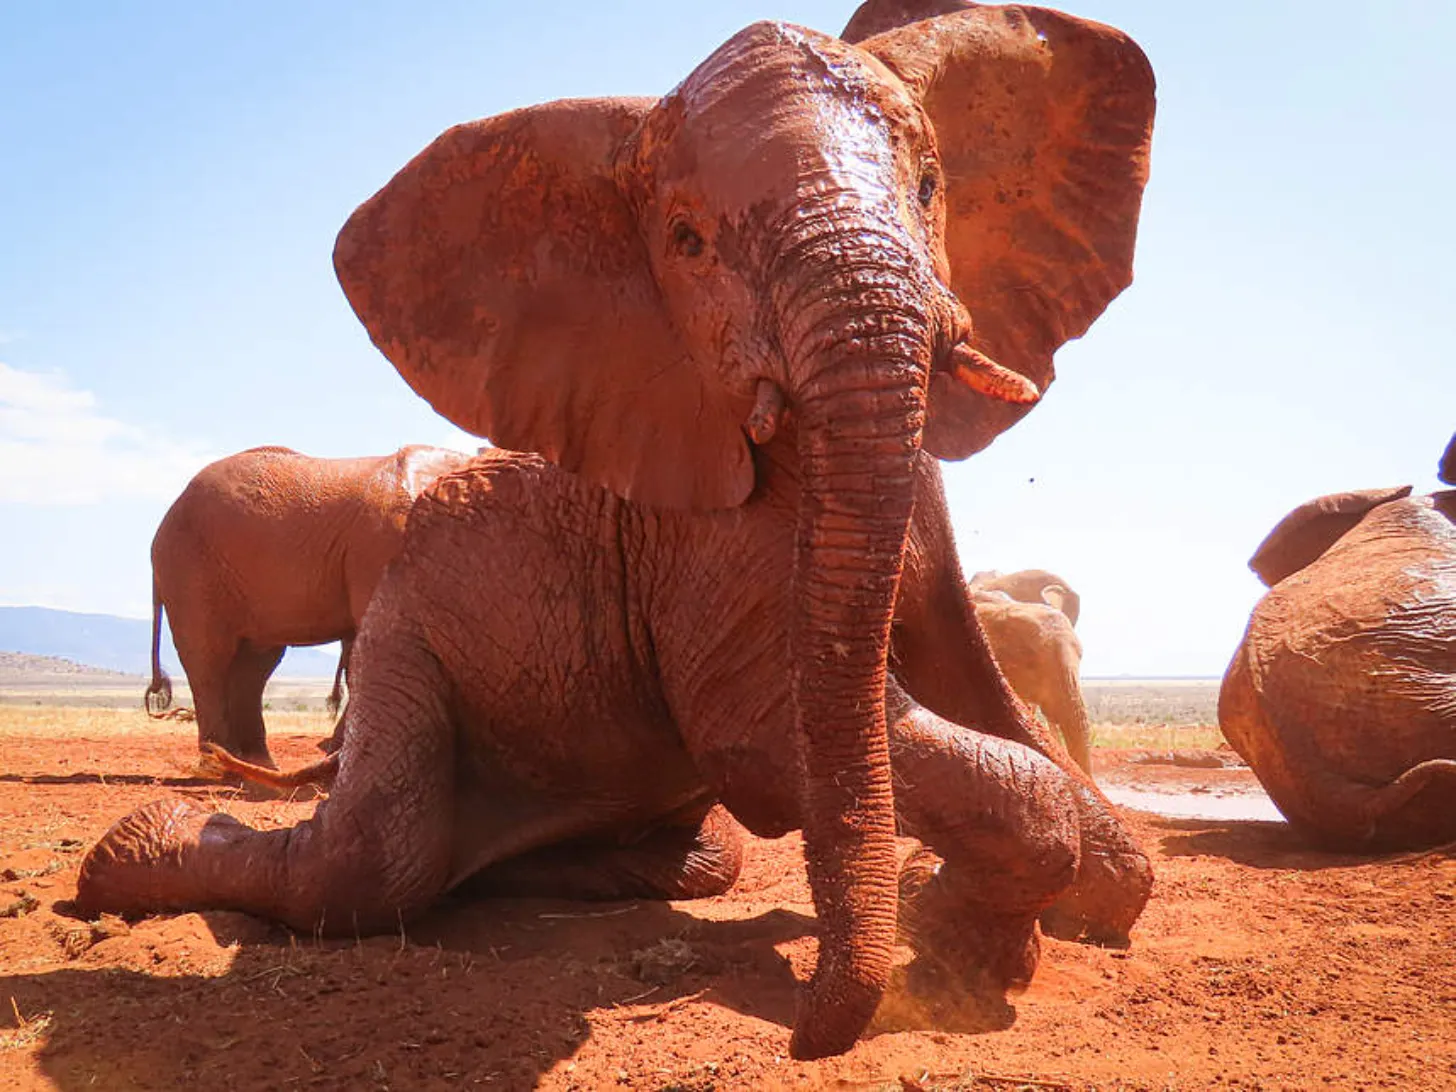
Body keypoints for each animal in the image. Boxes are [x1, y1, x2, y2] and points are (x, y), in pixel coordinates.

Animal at [146, 444, 472, 766]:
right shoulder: (385, 546)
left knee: (254, 664)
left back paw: (255, 765)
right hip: (191, 566)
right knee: (210, 656)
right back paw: (220, 763)